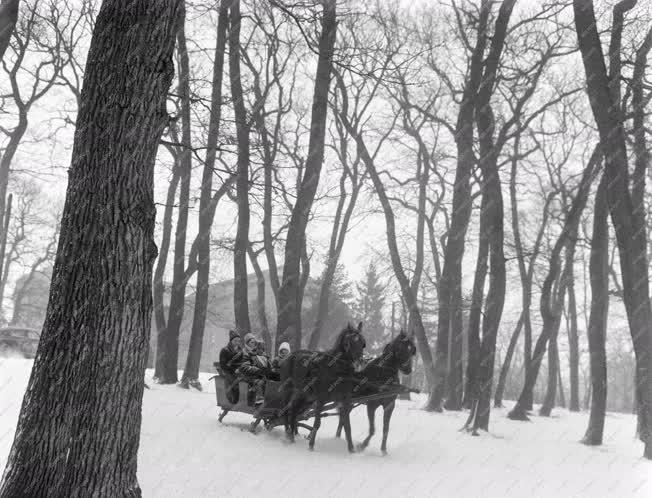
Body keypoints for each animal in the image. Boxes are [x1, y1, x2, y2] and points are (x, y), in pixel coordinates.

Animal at [280, 320, 366, 454]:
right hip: (288, 390)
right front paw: (311, 445)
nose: (359, 362)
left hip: (305, 396)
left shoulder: (345, 400)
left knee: (294, 412)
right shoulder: (321, 399)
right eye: (349, 342)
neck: (337, 369)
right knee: (286, 411)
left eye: (362, 343)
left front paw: (351, 449)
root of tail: (289, 356)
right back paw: (288, 435)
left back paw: (293, 437)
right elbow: (317, 423)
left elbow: (347, 425)